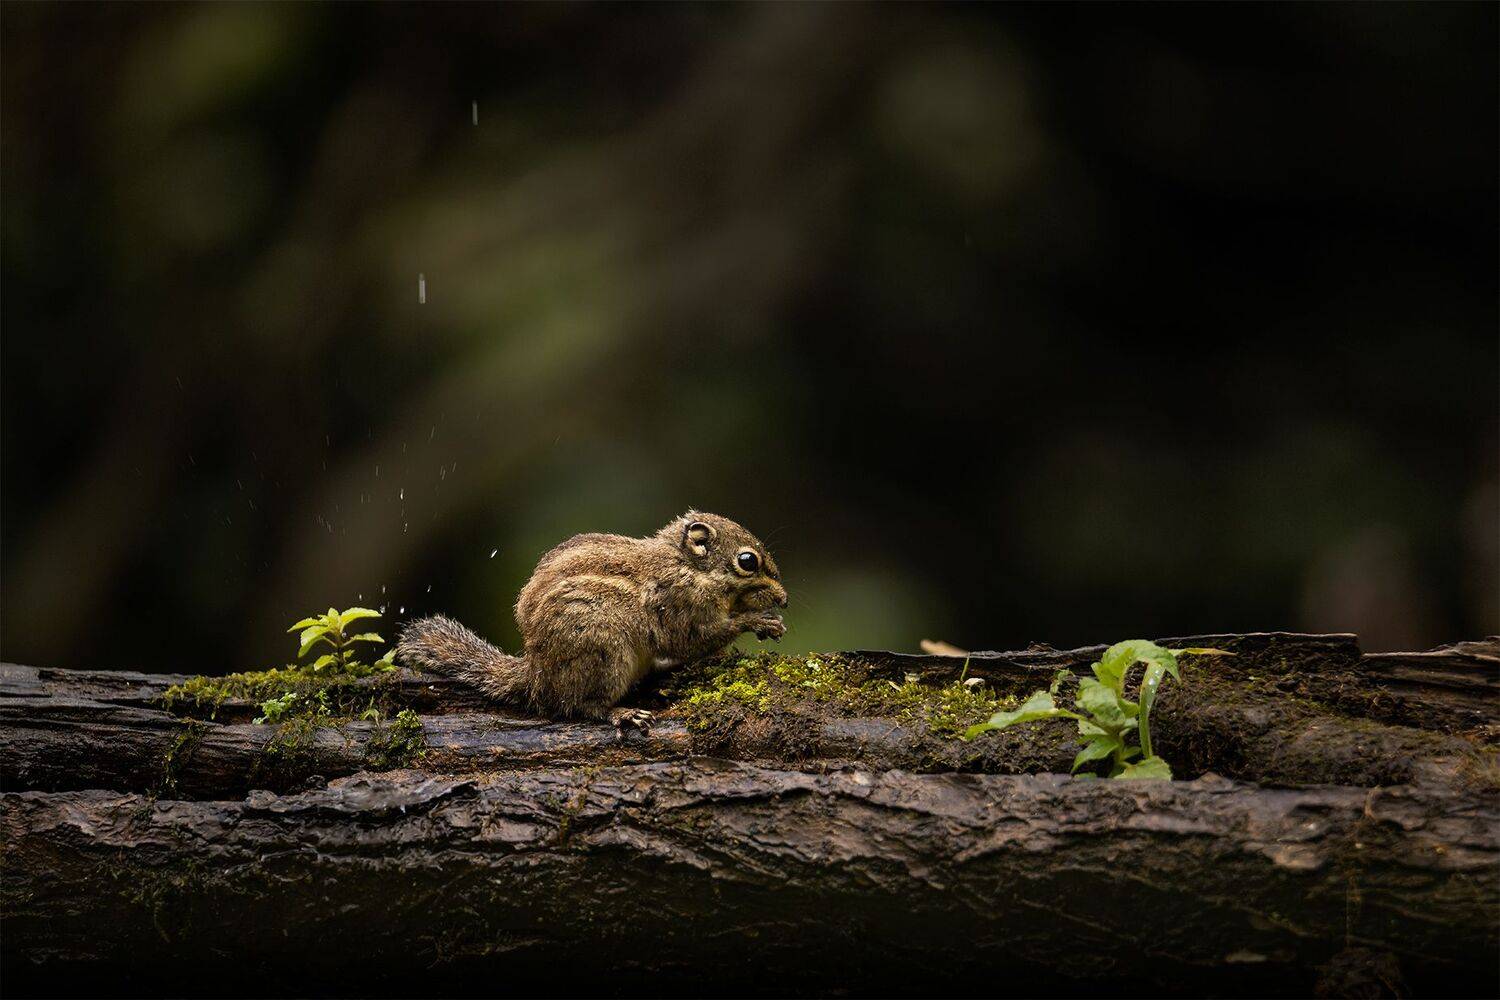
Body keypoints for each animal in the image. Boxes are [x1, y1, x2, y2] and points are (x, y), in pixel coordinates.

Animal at [395, 511, 787, 730]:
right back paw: (622, 713)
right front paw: (759, 621)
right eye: (748, 561)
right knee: (579, 706)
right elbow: (695, 638)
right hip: (604, 652)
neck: (689, 567)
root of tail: (537, 677)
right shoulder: (679, 605)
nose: (784, 598)